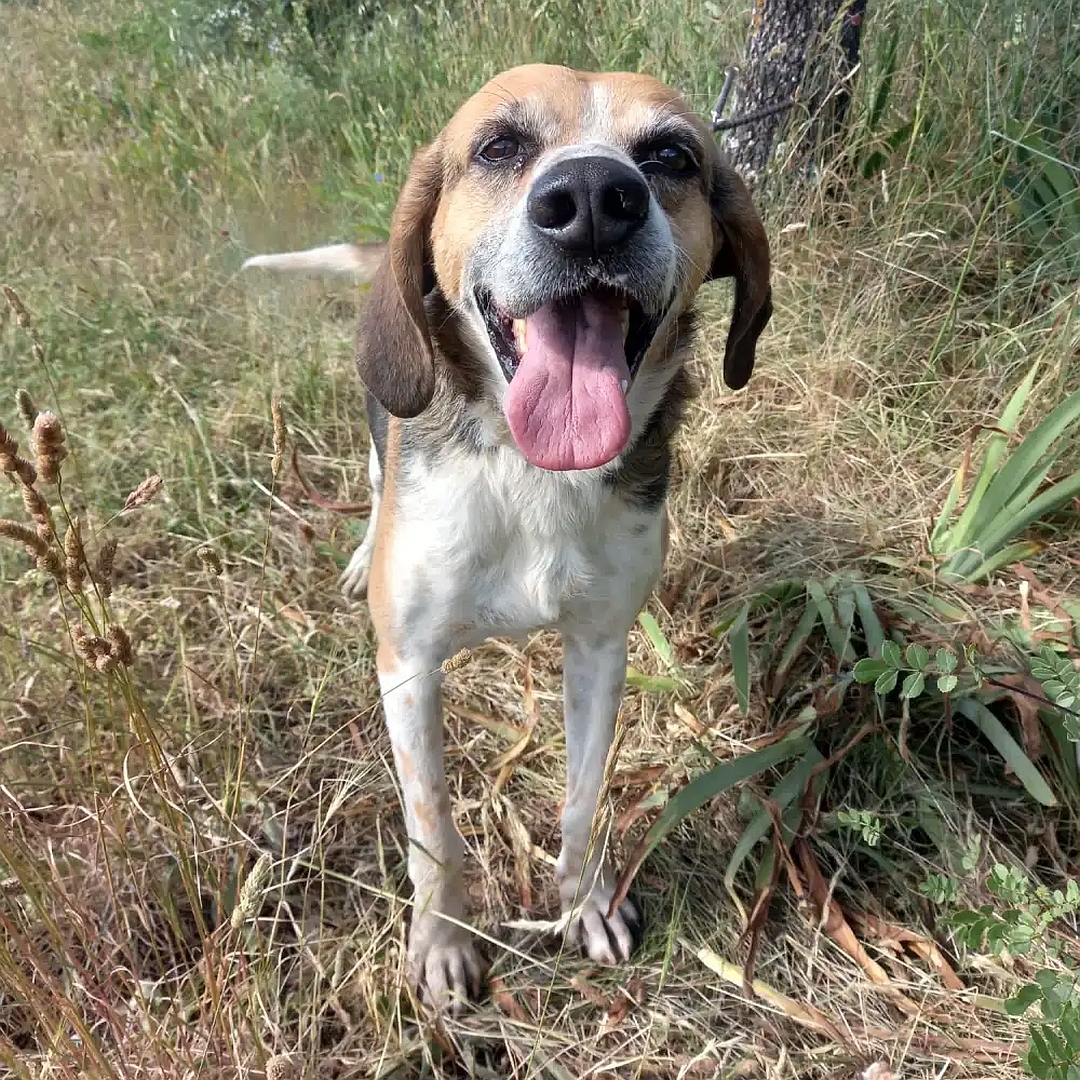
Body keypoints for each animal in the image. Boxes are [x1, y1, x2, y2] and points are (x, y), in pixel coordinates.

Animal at [245, 61, 773, 1010]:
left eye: (672, 156)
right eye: (498, 147)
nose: (596, 198)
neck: (533, 478)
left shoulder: (600, 648)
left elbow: (582, 800)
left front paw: (585, 903)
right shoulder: (408, 666)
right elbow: (434, 832)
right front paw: (443, 944)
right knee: (374, 478)